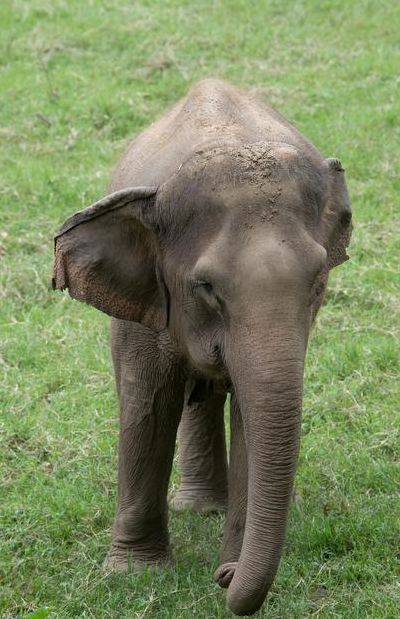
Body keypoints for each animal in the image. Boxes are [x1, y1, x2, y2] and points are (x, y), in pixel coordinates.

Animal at [52, 80, 350, 616]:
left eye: (319, 279)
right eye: (206, 286)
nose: (223, 577)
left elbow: (250, 413)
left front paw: (228, 560)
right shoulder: (146, 303)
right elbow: (148, 406)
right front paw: (134, 575)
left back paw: (207, 508)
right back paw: (199, 509)